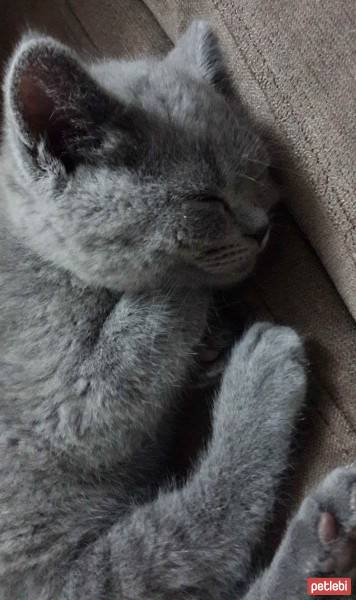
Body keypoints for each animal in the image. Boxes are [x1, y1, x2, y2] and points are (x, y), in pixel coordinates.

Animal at [0, 19, 356, 600]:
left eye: (256, 174)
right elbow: (147, 323)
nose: (261, 228)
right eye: (206, 200)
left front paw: (208, 343)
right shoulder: (61, 403)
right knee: (190, 543)